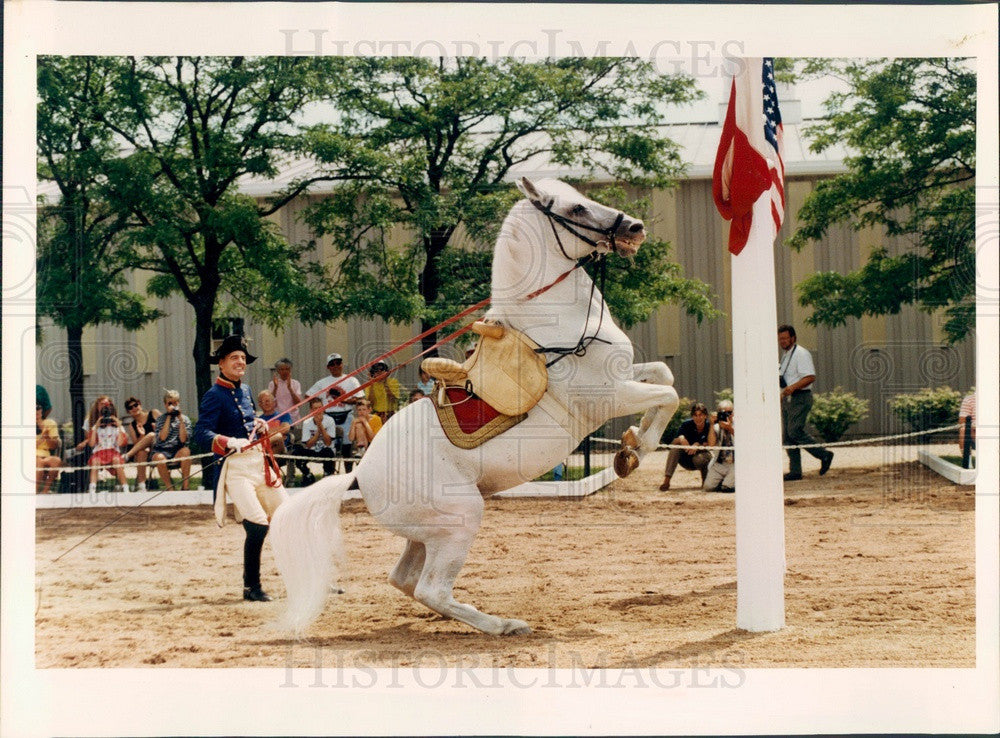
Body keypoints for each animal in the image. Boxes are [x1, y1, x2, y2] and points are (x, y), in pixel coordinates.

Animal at [270, 177, 684, 632]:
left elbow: (664, 375)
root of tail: (359, 473)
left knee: (405, 580)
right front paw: (634, 451)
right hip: (461, 519)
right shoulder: (610, 396)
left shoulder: (626, 377)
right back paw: (504, 625)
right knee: (431, 588)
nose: (634, 228)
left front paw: (630, 441)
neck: (557, 330)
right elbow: (669, 396)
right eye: (575, 208)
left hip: (429, 534)